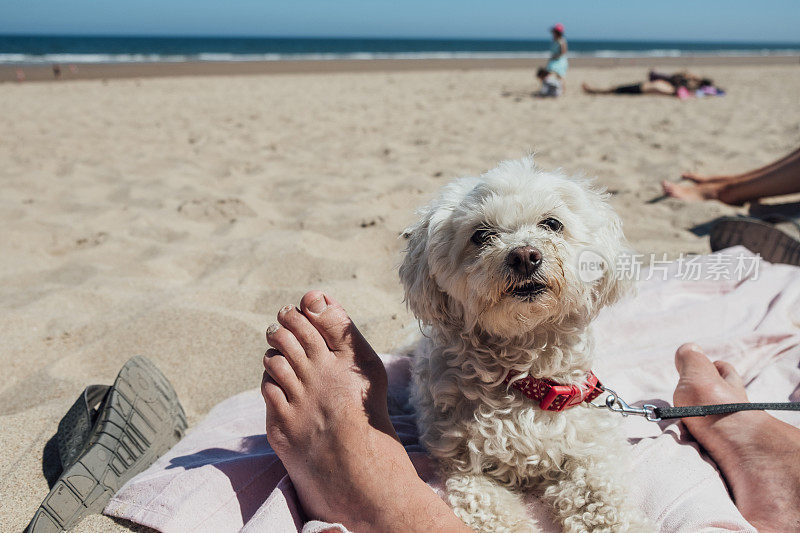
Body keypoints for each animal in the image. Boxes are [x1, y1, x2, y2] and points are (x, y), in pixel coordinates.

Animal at [400, 156, 648, 528]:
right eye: (481, 235)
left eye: (552, 223)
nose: (524, 255)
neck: (526, 374)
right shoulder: (469, 468)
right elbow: (492, 510)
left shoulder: (587, 447)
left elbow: (603, 499)